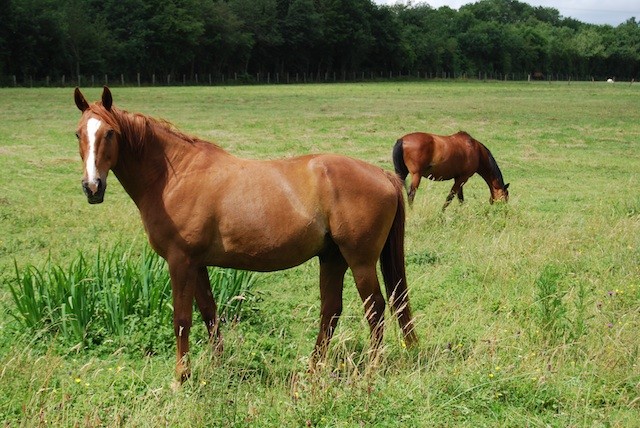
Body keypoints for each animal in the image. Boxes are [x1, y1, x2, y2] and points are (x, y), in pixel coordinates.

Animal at [72, 87, 418, 382]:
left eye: (109, 133)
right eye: (78, 133)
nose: (92, 187)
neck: (175, 175)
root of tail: (383, 175)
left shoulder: (180, 261)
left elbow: (182, 320)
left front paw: (181, 378)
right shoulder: (197, 264)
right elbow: (209, 314)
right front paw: (218, 366)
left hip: (360, 261)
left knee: (376, 309)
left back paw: (372, 369)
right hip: (332, 257)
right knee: (331, 311)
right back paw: (313, 369)